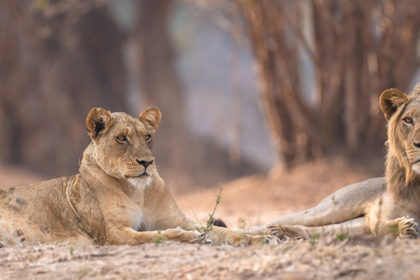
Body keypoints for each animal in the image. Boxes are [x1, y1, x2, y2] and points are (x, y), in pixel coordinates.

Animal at [0, 106, 270, 246]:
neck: (137, 190)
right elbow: (155, 235)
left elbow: (224, 231)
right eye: (122, 138)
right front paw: (189, 237)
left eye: (148, 137)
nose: (147, 162)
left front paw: (263, 238)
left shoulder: (176, 218)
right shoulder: (113, 233)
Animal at [249, 84, 420, 240]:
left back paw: (279, 232)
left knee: (320, 230)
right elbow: (386, 224)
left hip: (352, 224)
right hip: (328, 209)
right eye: (408, 120)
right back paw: (256, 233)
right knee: (263, 225)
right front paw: (406, 227)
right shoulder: (376, 218)